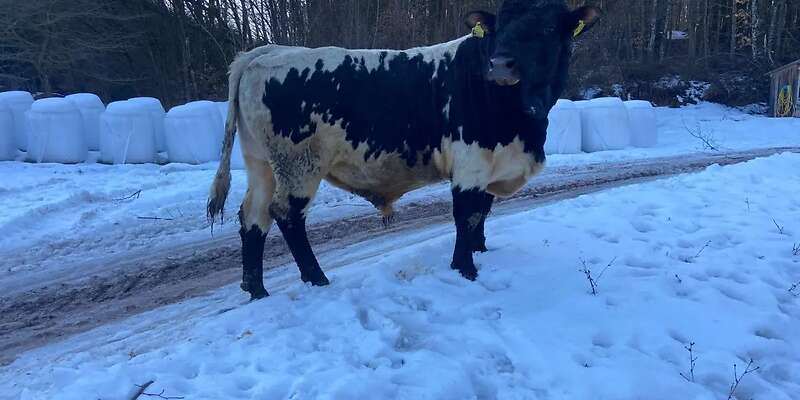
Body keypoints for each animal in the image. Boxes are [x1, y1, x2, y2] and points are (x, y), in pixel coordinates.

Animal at [208, 0, 601, 300]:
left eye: (548, 28)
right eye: (499, 27)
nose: (501, 64)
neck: (523, 121)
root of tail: (266, 51)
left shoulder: (493, 166)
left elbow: (482, 213)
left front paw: (479, 253)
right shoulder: (470, 163)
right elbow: (466, 215)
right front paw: (465, 269)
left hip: (261, 164)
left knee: (253, 217)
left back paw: (256, 289)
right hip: (299, 164)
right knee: (286, 214)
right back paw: (316, 279)